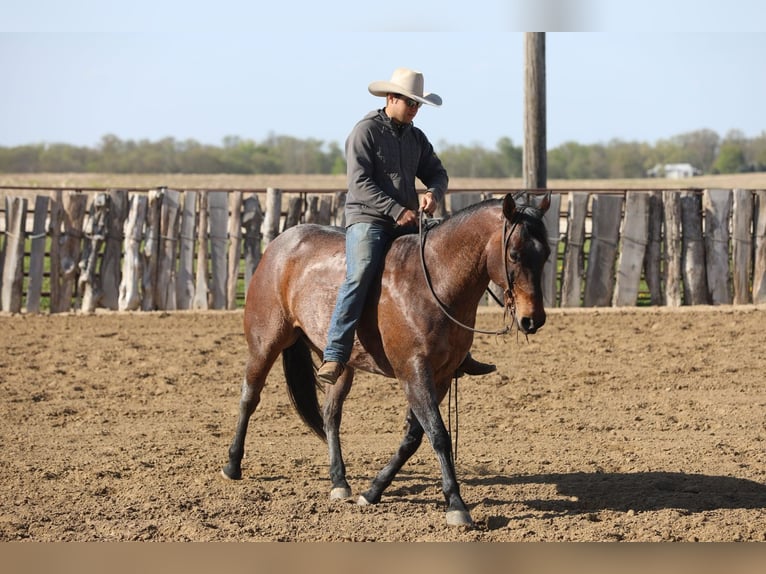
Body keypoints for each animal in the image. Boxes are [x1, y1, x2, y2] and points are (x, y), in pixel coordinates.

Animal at [221, 192, 551, 527]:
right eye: (514, 254)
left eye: (547, 253)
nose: (533, 320)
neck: (433, 282)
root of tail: (280, 244)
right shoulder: (413, 372)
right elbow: (438, 434)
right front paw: (456, 505)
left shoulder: (441, 376)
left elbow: (414, 436)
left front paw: (373, 491)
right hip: (265, 344)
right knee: (249, 397)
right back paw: (232, 465)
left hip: (339, 364)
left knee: (330, 415)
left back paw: (339, 481)